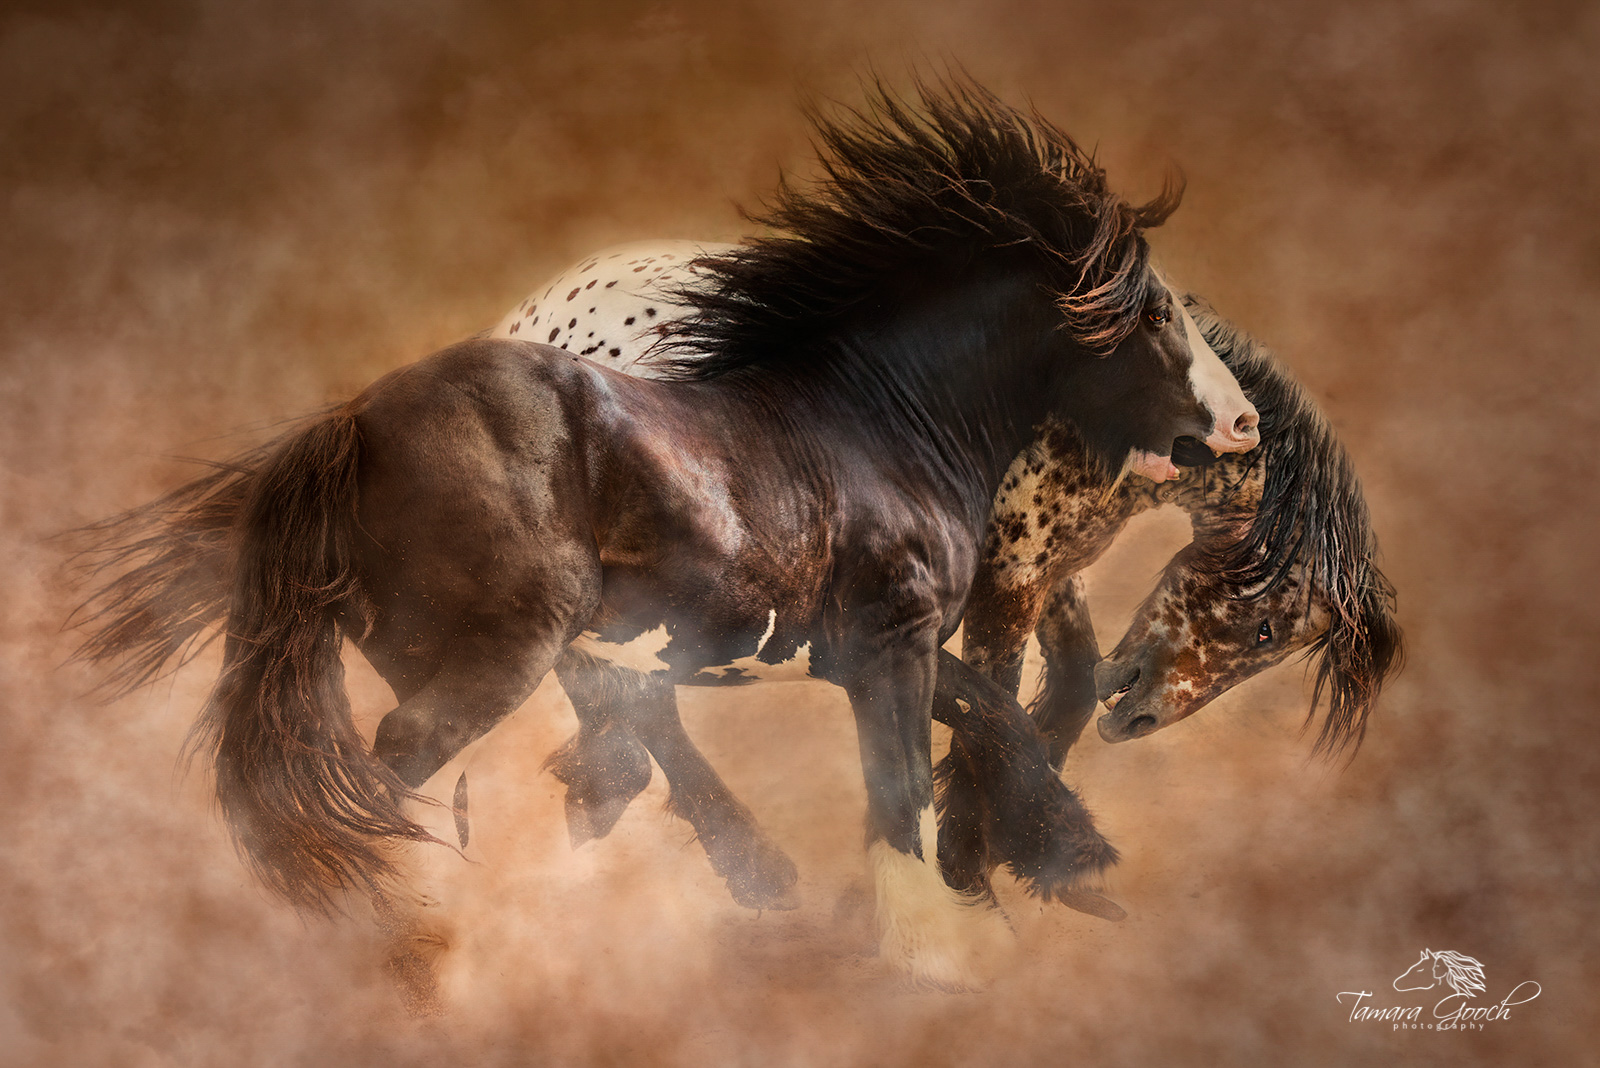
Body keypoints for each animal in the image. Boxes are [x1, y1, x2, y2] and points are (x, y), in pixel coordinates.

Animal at [75, 81, 1260, 991]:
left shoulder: (870, 644)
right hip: (505, 649)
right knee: (398, 767)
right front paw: (936, 951)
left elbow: (987, 718)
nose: (1244, 422)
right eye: (1153, 310)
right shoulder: (889, 639)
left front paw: (1070, 862)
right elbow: (898, 789)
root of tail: (351, 428)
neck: (879, 419)